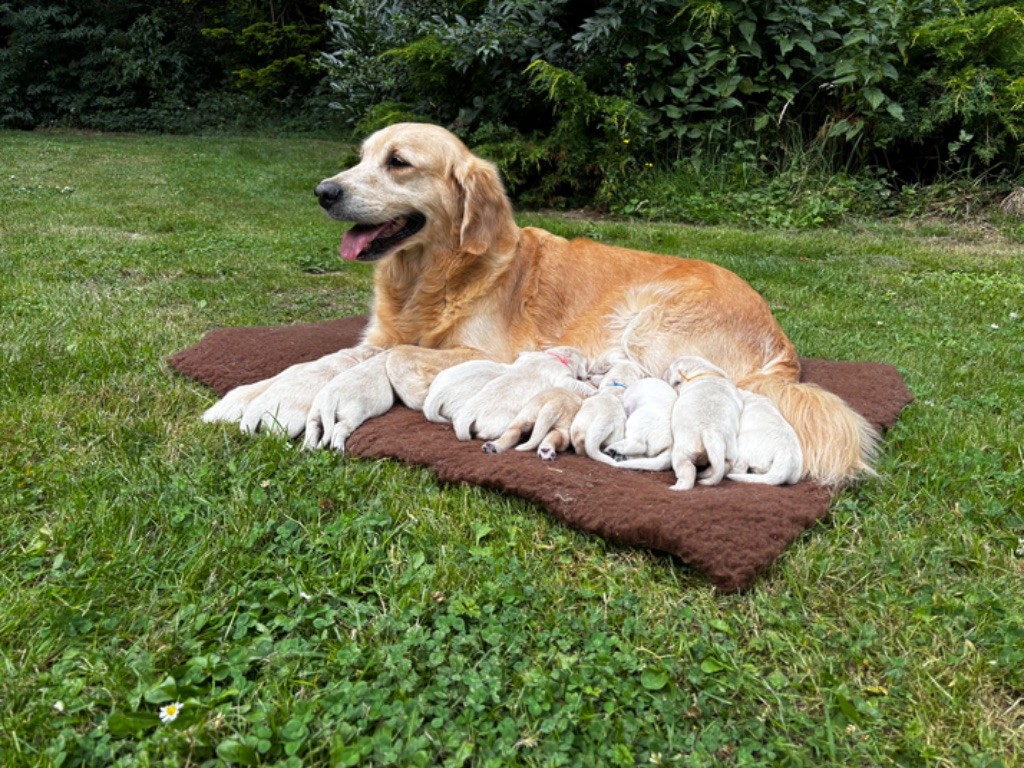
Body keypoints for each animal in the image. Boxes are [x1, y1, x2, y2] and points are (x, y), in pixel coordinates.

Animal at [454, 348, 598, 442]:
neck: (555, 357)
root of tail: (471, 411)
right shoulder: (562, 378)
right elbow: (575, 383)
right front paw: (593, 391)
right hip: (499, 423)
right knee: (485, 434)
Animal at [667, 356, 741, 489]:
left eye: (671, 368)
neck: (705, 371)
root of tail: (710, 431)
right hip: (729, 451)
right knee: (722, 466)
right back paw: (703, 475)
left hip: (684, 449)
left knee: (687, 468)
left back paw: (679, 486)